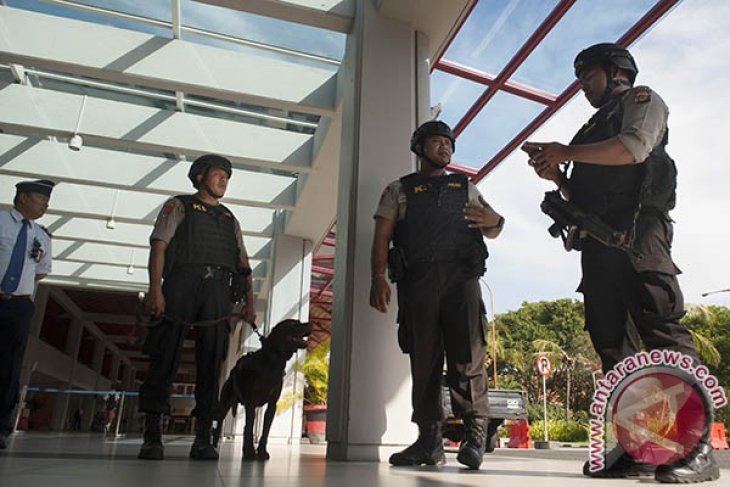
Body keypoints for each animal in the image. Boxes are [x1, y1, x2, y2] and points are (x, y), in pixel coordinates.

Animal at [213, 320, 310, 462]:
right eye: (293, 324)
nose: (311, 324)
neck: (273, 362)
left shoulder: (272, 405)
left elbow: (265, 431)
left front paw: (262, 452)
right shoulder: (251, 403)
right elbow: (249, 428)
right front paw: (249, 452)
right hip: (224, 403)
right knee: (220, 422)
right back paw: (214, 445)